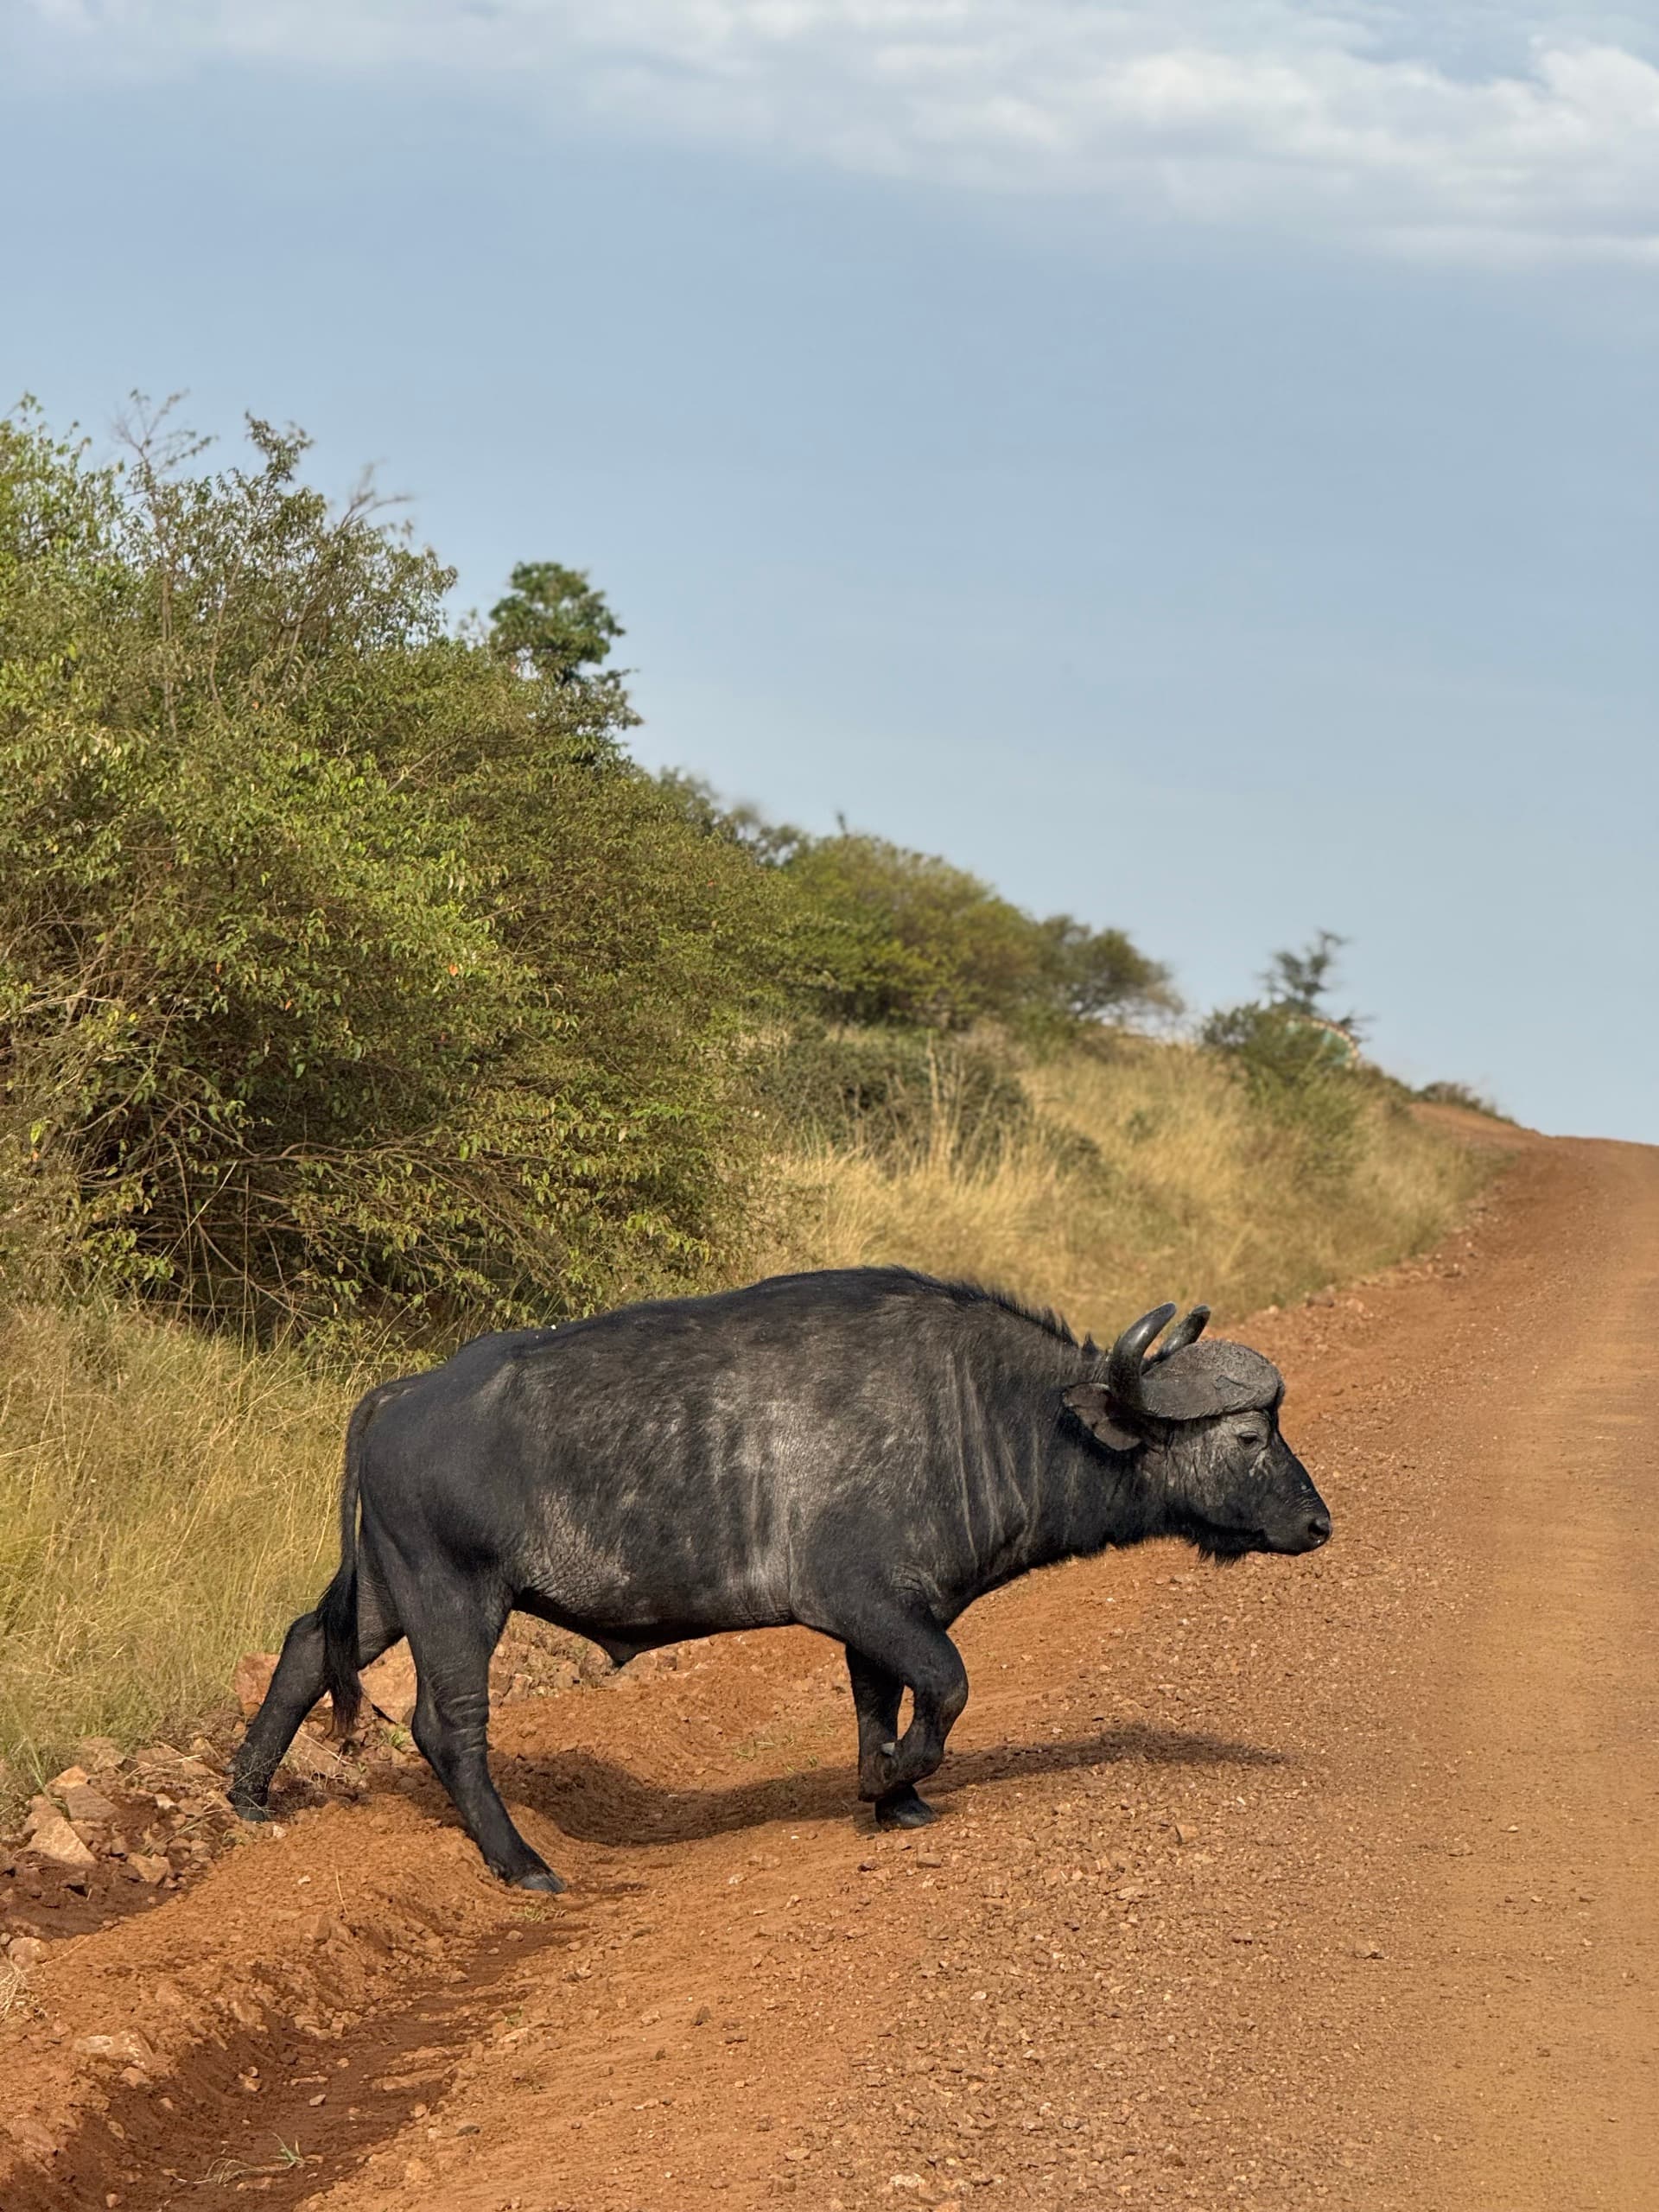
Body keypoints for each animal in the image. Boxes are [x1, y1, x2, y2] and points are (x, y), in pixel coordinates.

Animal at [232, 1268, 1330, 1887]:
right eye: (1248, 1435)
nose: (1318, 1522)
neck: (982, 1411)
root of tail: (406, 1391)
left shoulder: (883, 1617)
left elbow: (881, 1701)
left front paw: (895, 1798)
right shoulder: (870, 1605)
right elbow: (947, 1687)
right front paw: (888, 1781)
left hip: (388, 1588)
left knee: (305, 1644)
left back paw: (247, 1793)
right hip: (455, 1596)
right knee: (448, 1725)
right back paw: (522, 1862)